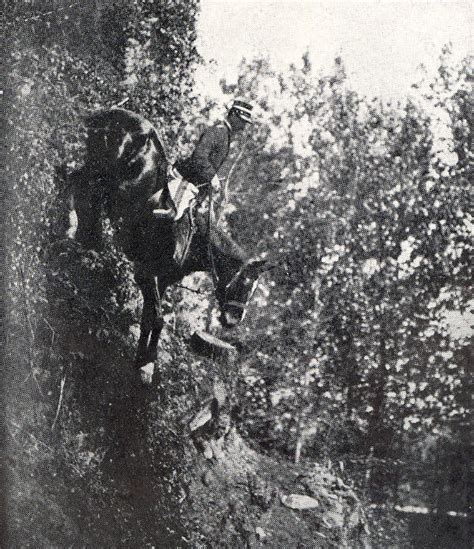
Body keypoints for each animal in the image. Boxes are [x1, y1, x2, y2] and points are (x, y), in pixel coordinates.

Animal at [62, 107, 268, 382]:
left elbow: (149, 317)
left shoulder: (163, 279)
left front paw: (143, 361)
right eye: (245, 283)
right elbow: (157, 318)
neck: (195, 240)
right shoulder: (146, 273)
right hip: (103, 173)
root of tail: (113, 113)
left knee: (81, 187)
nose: (233, 320)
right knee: (76, 180)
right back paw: (72, 225)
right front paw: (148, 361)